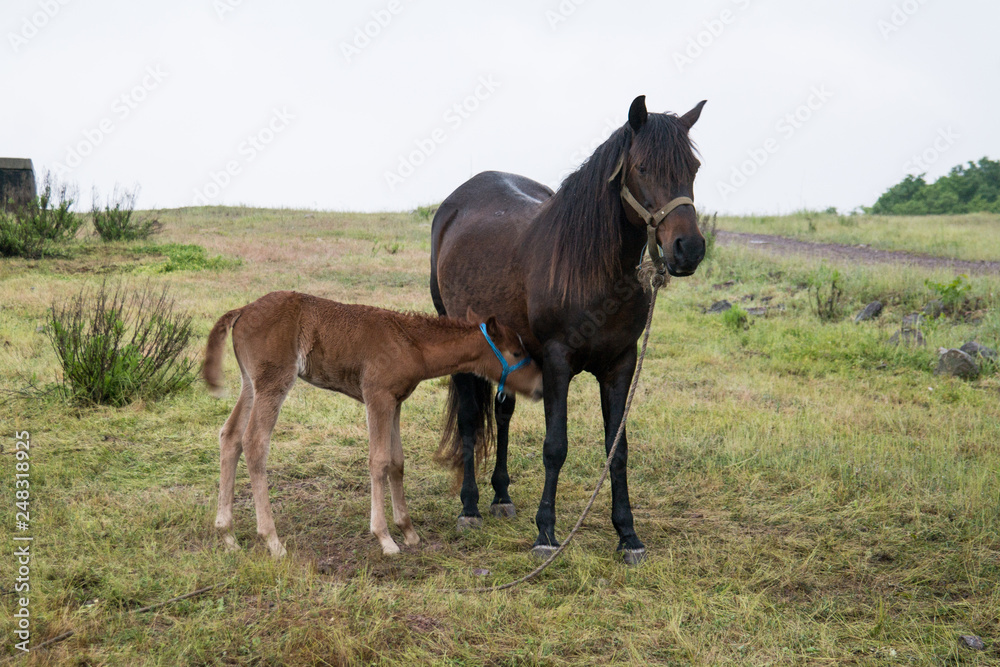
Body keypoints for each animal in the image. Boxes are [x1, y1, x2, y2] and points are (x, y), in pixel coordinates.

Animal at [203, 292, 544, 560]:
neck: (412, 343)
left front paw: (409, 531)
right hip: (274, 382)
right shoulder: (377, 396)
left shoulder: (395, 402)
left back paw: (227, 534)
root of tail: (243, 310)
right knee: (254, 442)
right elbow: (378, 461)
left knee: (230, 436)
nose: (541, 387)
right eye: (516, 352)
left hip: (251, 383)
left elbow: (397, 461)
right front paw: (385, 538)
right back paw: (272, 541)